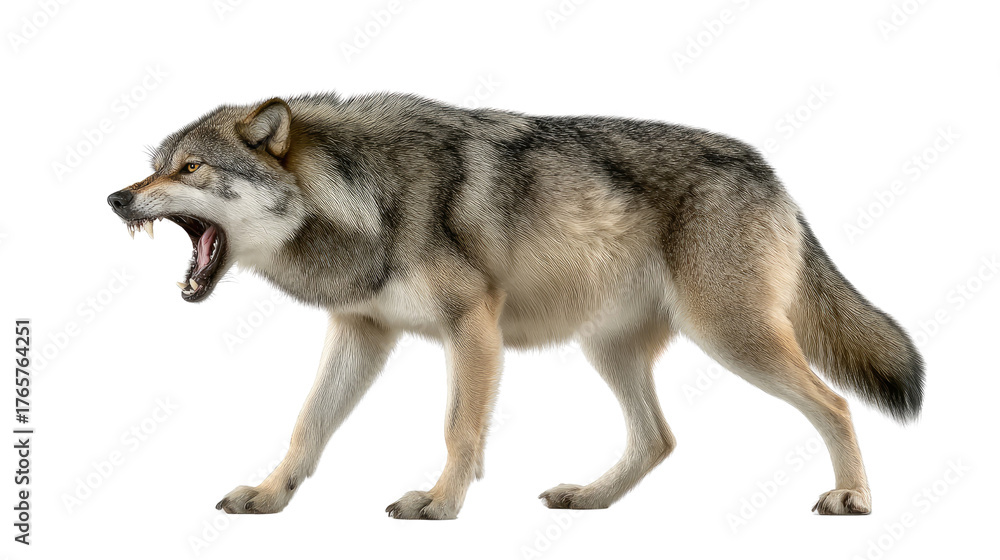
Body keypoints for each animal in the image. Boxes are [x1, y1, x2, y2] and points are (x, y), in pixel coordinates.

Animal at [106, 92, 923, 519]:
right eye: (155, 168)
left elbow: (457, 428)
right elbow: (308, 425)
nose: (115, 197)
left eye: (190, 168)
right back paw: (590, 498)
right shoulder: (361, 331)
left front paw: (440, 504)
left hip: (732, 338)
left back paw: (853, 496)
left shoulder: (472, 325)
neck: (369, 196)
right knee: (659, 439)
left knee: (835, 405)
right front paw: (270, 495)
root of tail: (772, 173)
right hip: (610, 349)